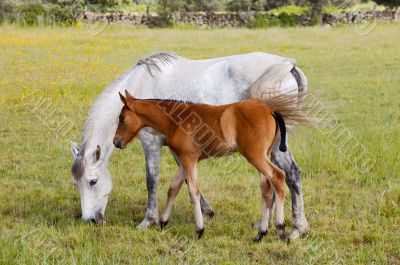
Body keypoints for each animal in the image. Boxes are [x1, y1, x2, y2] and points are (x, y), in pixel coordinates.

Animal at [114, 89, 308, 240]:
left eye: (122, 118)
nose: (116, 142)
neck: (175, 121)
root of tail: (270, 110)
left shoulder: (189, 159)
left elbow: (193, 192)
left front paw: (199, 230)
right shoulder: (185, 161)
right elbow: (173, 188)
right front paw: (163, 222)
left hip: (256, 156)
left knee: (278, 177)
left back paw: (281, 229)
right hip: (263, 156)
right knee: (266, 187)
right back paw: (260, 234)